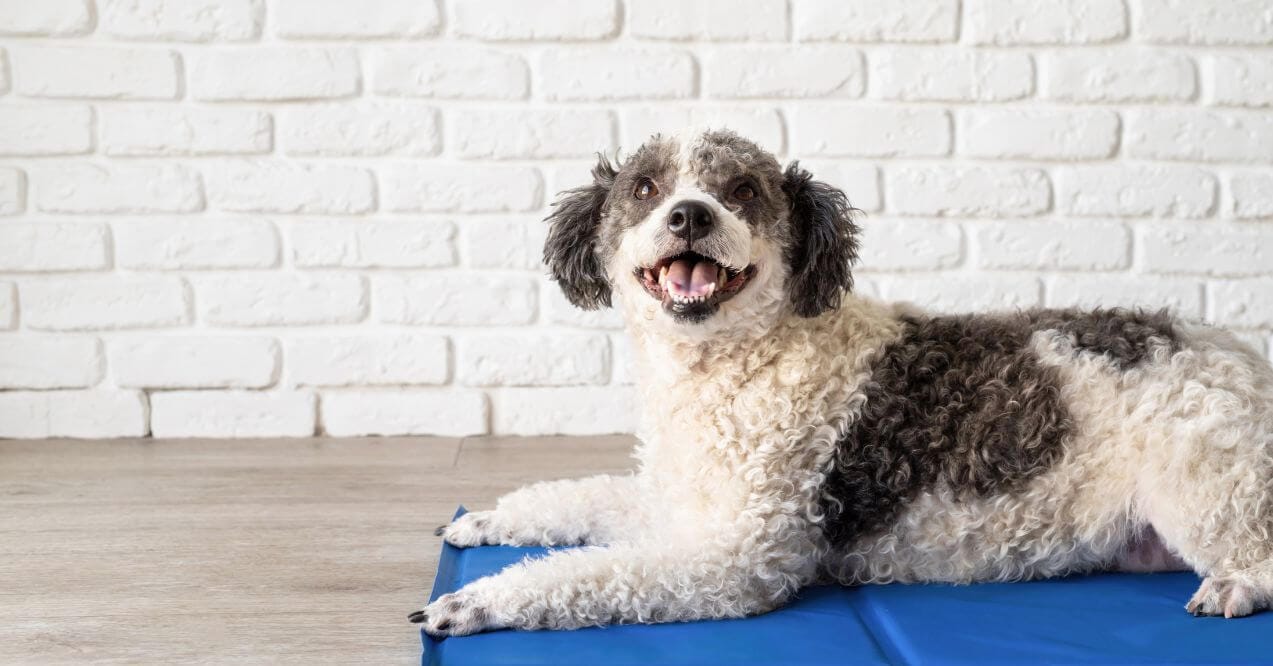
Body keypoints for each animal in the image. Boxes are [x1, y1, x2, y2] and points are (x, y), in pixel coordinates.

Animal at [407, 129, 1273, 636]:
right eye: (645, 189)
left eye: (742, 190)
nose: (690, 214)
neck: (737, 364)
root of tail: (1238, 357)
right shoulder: (678, 501)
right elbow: (574, 499)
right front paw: (486, 520)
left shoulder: (738, 554)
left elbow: (591, 574)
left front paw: (480, 600)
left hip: (1206, 487)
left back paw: (1235, 587)